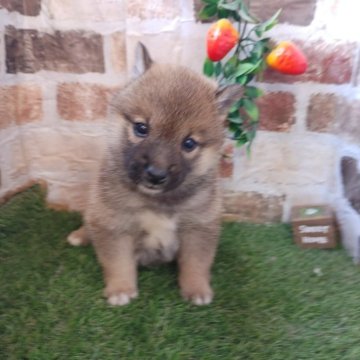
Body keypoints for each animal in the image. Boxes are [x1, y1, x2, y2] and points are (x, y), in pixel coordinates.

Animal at [67, 43, 242, 306]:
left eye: (189, 143)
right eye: (142, 128)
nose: (156, 175)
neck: (157, 200)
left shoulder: (198, 227)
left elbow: (196, 264)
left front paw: (197, 289)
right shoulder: (114, 223)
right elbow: (118, 262)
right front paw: (121, 289)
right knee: (89, 222)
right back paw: (80, 235)